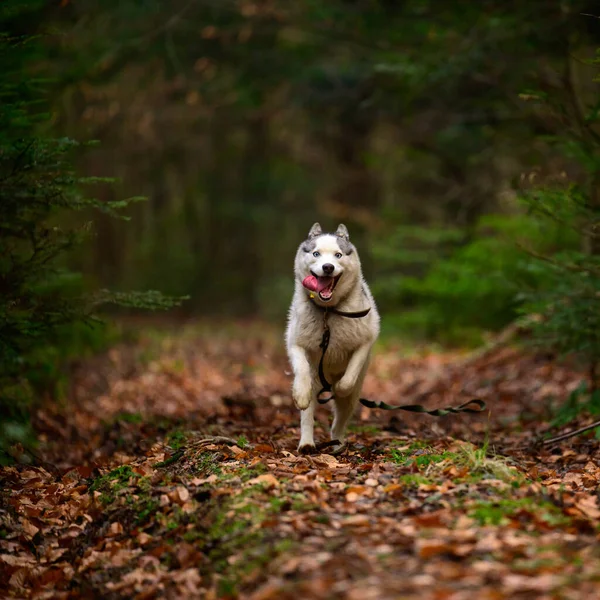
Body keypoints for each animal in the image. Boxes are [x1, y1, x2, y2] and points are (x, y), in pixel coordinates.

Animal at [284, 223, 380, 452]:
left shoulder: (365, 341)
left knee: (340, 419)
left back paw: (337, 443)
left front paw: (340, 387)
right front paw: (300, 393)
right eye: (315, 253)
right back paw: (306, 443)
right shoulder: (296, 342)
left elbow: (350, 375)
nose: (328, 267)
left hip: (352, 399)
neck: (328, 311)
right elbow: (301, 368)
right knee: (308, 415)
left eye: (338, 255)